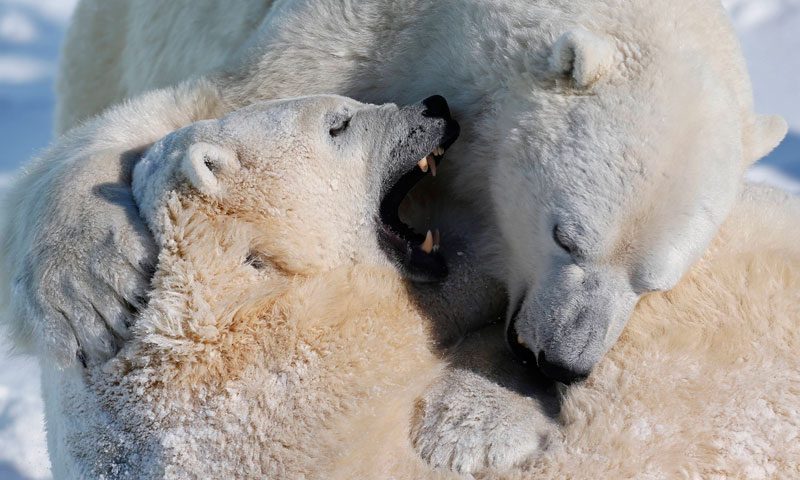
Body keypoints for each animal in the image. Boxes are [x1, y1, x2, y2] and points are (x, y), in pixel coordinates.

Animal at [10, 0, 788, 382]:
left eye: (656, 281)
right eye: (566, 236)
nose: (557, 362)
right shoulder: (358, 36)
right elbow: (199, 107)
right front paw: (90, 291)